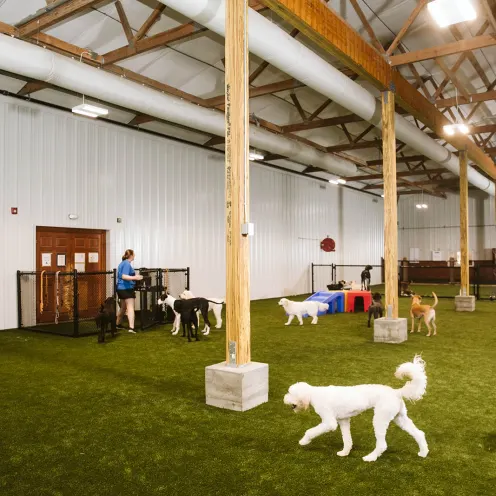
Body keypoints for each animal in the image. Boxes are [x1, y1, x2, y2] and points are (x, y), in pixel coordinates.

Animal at [284, 354, 428, 464]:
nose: (284, 399)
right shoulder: (343, 420)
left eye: (290, 393)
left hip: (380, 419)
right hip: (400, 418)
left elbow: (310, 431)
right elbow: (347, 439)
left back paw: (370, 457)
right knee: (419, 433)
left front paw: (304, 441)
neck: (314, 394)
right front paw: (344, 452)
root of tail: (397, 392)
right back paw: (423, 452)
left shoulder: (329, 422)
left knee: (382, 444)